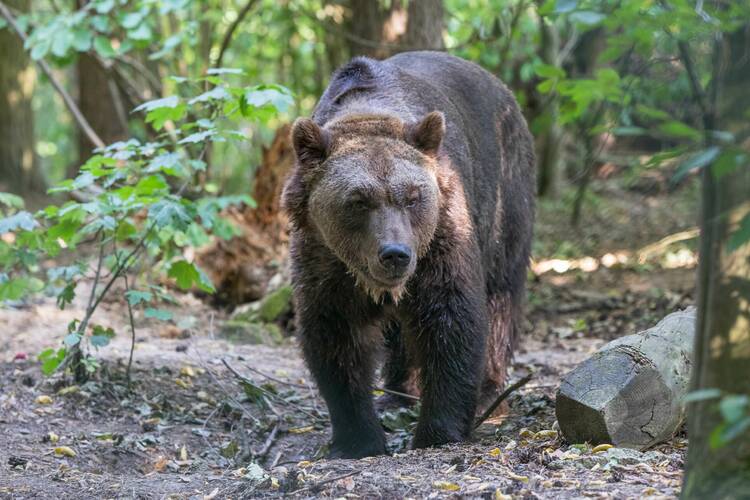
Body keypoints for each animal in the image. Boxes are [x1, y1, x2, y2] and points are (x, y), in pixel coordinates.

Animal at [282, 51, 536, 460]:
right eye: (358, 200)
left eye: (413, 196)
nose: (395, 254)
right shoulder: (322, 255)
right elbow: (336, 333)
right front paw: (358, 437)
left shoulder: (441, 237)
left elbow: (451, 318)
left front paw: (438, 430)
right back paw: (398, 394)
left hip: (506, 195)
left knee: (501, 295)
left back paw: (489, 391)